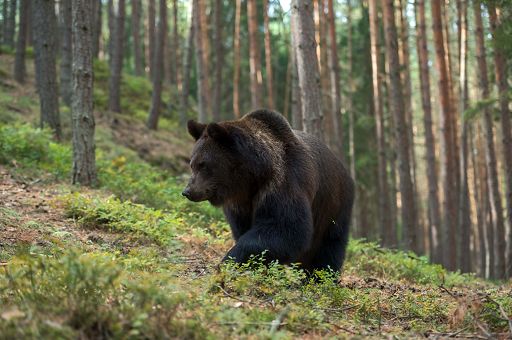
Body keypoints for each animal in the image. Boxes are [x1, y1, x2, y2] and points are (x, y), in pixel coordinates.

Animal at [184, 110, 356, 272]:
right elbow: (244, 230)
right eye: (192, 164)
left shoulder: (282, 183)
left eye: (203, 164)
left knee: (330, 245)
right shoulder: (239, 204)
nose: (187, 191)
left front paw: (229, 261)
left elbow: (285, 228)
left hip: (334, 205)